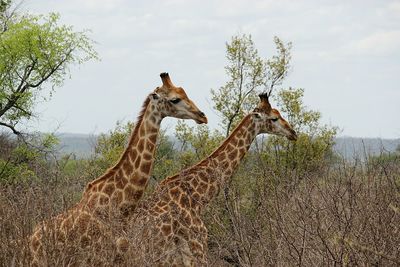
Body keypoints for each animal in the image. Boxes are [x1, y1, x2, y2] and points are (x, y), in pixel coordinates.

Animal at [28, 73, 209, 267]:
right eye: (175, 99)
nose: (202, 116)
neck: (120, 208)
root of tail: (30, 239)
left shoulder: (120, 256)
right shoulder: (99, 258)